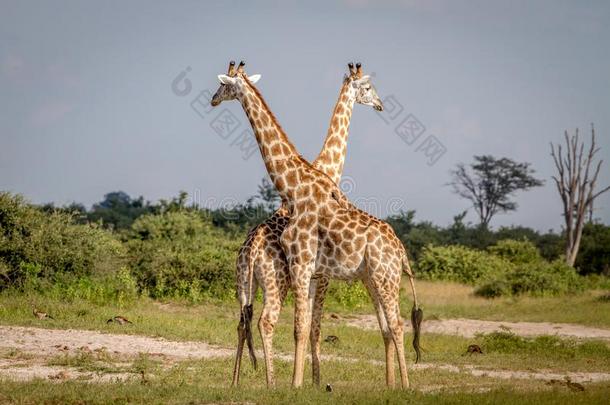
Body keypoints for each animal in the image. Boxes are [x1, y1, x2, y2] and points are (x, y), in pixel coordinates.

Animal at [211, 60, 420, 388]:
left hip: (377, 278)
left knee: (394, 324)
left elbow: (307, 326)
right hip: (262, 282)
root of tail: (400, 250)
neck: (296, 184)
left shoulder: (311, 271)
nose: (380, 104)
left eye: (222, 85)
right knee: (252, 322)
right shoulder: (309, 271)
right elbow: (305, 326)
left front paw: (306, 383)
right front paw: (306, 382)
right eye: (368, 87)